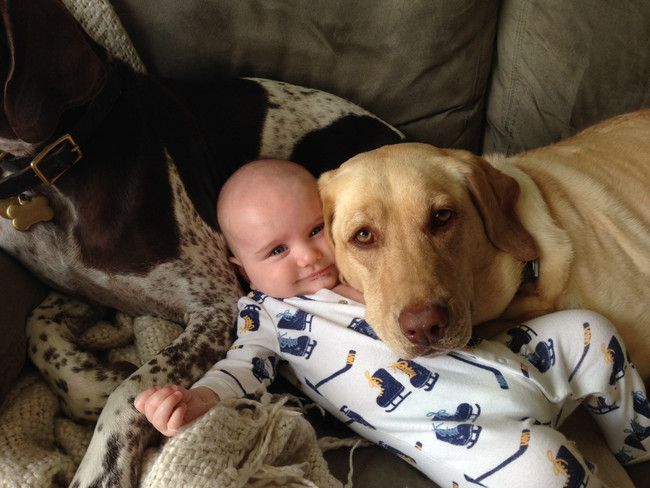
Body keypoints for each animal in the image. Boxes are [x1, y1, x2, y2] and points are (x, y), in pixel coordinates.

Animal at [0, 0, 402, 488]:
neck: (58, 168)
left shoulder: (218, 304)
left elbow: (133, 390)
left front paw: (100, 465)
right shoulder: (87, 288)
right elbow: (37, 328)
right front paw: (90, 385)